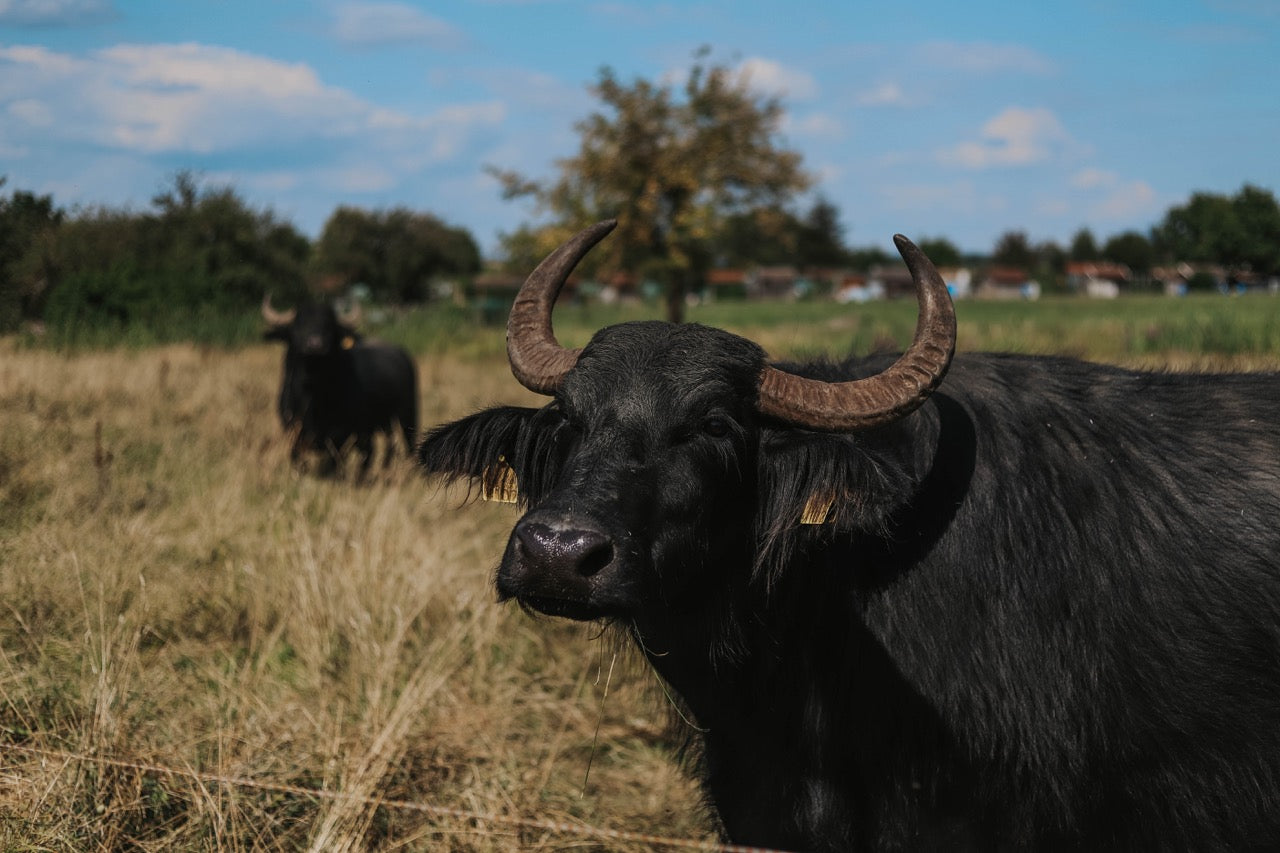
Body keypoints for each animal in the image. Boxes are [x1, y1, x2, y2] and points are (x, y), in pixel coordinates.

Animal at [262, 297, 417, 471]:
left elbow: (334, 463)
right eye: (297, 326)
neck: (312, 394)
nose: (315, 345)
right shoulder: (293, 432)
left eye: (329, 326)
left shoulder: (339, 436)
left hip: (408, 417)